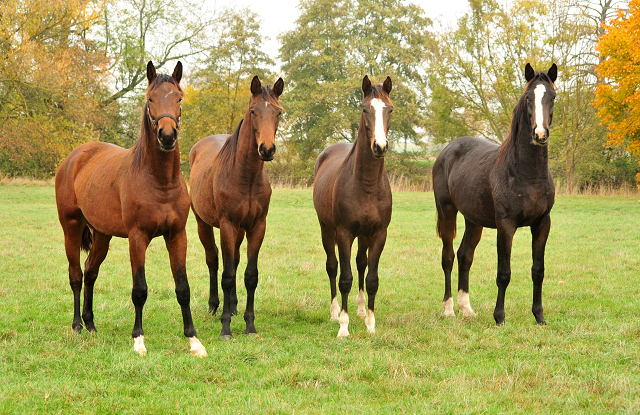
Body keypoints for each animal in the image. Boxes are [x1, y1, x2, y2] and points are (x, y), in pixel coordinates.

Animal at [55, 61, 206, 358]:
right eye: (150, 99)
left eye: (179, 98)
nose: (167, 136)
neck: (159, 181)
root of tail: (74, 157)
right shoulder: (137, 238)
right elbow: (140, 289)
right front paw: (139, 340)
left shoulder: (177, 235)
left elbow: (183, 287)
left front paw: (194, 341)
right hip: (71, 228)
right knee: (76, 275)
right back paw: (77, 325)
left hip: (102, 235)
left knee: (90, 272)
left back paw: (91, 324)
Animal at [188, 76, 282, 340]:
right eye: (253, 111)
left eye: (279, 112)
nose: (267, 149)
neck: (246, 176)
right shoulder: (227, 225)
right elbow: (227, 276)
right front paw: (226, 327)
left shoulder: (257, 227)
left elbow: (250, 275)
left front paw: (249, 324)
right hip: (204, 224)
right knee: (214, 261)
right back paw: (215, 307)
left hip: (239, 230)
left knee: (235, 261)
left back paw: (234, 306)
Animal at [312, 75, 392, 338]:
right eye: (365, 109)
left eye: (389, 109)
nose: (379, 146)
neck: (366, 185)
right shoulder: (344, 233)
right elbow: (344, 278)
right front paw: (343, 327)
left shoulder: (378, 234)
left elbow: (372, 278)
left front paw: (371, 323)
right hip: (327, 230)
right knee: (332, 267)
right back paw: (335, 312)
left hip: (364, 235)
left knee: (360, 264)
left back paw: (360, 310)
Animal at [432, 63, 556, 326]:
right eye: (528, 97)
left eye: (552, 97)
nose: (540, 134)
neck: (526, 173)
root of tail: (448, 150)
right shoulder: (506, 225)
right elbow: (504, 273)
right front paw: (500, 318)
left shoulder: (542, 223)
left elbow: (538, 270)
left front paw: (539, 316)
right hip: (447, 212)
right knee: (448, 257)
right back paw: (449, 309)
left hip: (473, 220)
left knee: (465, 255)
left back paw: (466, 309)